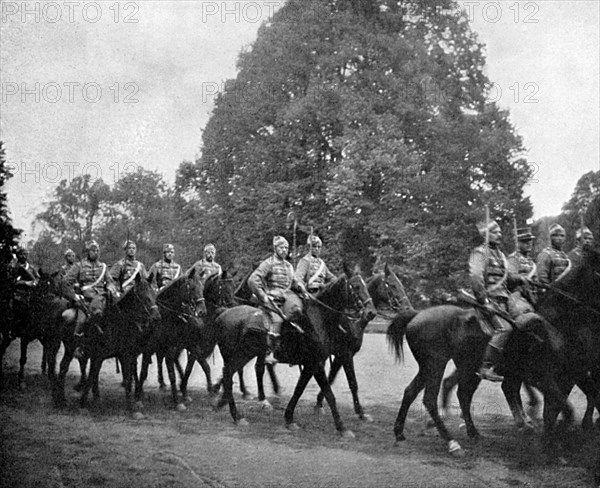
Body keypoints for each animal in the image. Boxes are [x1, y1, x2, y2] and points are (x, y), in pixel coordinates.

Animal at [72, 272, 161, 414]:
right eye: (142, 295)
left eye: (153, 294)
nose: (157, 317)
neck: (116, 322)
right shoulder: (98, 355)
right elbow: (92, 376)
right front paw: (83, 404)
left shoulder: (125, 354)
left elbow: (129, 378)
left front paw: (132, 407)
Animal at [213, 270, 378, 434]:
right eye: (356, 286)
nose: (370, 312)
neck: (318, 320)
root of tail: (224, 313)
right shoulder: (322, 361)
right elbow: (330, 393)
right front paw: (342, 427)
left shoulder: (314, 363)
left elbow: (300, 389)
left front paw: (289, 418)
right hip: (240, 354)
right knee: (230, 374)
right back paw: (236, 415)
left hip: (244, 354)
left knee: (232, 373)